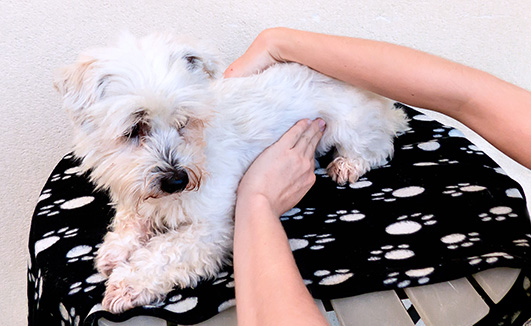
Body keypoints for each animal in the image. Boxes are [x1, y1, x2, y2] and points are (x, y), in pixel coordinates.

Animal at [54, 33, 410, 314]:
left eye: (185, 120)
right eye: (135, 128)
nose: (177, 180)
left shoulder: (212, 228)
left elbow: (165, 253)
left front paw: (127, 282)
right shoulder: (137, 193)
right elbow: (130, 218)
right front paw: (115, 249)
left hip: (352, 128)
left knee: (377, 145)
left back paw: (347, 164)